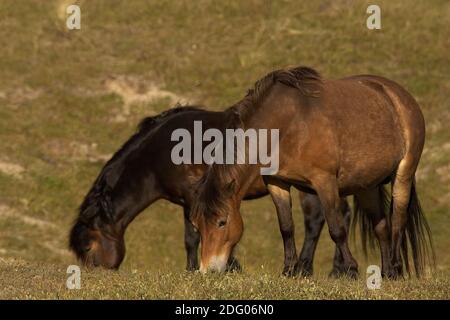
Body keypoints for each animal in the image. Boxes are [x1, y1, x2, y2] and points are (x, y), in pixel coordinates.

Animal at [69, 105, 352, 276]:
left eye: (87, 248)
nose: (93, 276)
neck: (160, 152)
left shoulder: (195, 195)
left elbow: (196, 235)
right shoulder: (189, 201)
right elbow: (193, 236)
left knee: (317, 220)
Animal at [191, 67, 436, 278]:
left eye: (222, 222)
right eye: (196, 225)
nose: (207, 270)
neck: (288, 124)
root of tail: (398, 95)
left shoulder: (324, 181)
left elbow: (337, 229)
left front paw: (350, 269)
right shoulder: (276, 182)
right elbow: (286, 227)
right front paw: (289, 269)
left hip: (403, 174)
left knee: (398, 221)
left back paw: (395, 268)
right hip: (367, 186)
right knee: (382, 226)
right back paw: (386, 272)